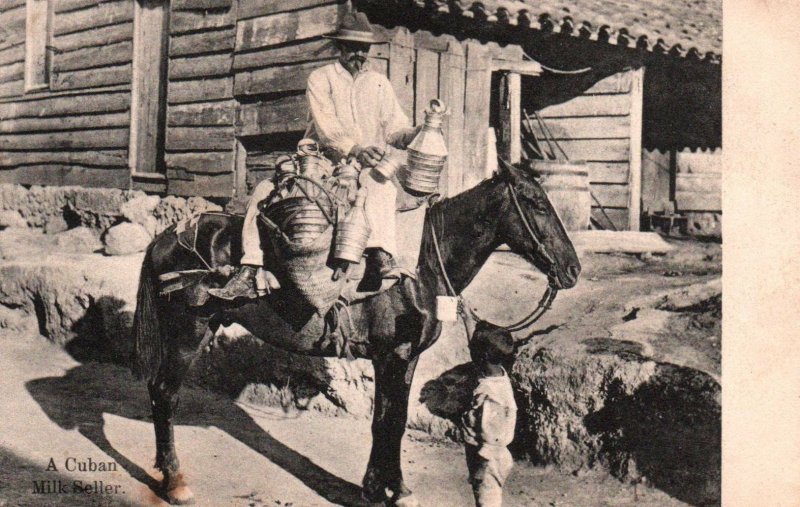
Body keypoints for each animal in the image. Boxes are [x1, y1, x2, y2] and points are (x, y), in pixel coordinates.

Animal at [131, 163, 580, 504]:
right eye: (536, 203)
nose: (572, 269)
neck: (418, 268)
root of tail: (165, 237)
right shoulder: (391, 356)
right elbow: (388, 423)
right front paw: (386, 491)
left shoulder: (404, 358)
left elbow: (390, 420)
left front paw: (384, 487)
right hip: (187, 333)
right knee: (164, 393)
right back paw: (175, 482)